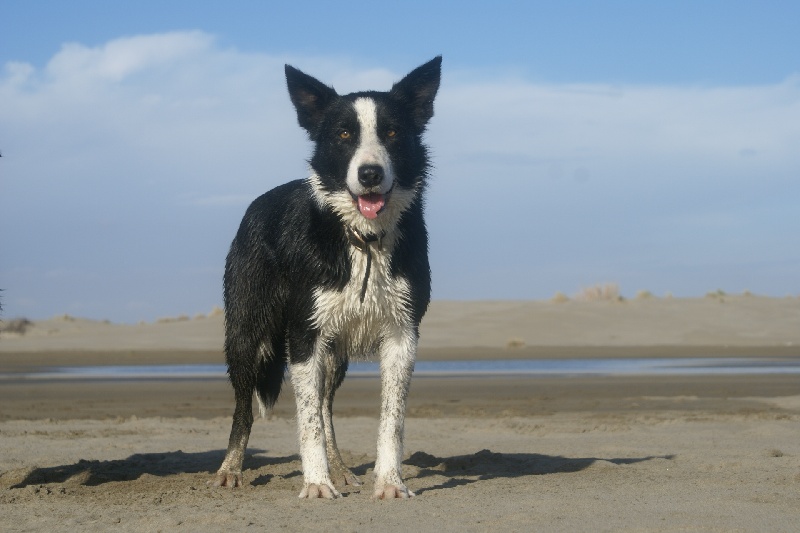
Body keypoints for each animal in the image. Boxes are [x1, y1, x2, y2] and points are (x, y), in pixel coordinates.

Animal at [209, 57, 440, 498]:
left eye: (392, 132)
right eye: (344, 134)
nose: (369, 174)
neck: (363, 241)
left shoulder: (402, 334)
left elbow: (391, 419)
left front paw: (389, 483)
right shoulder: (304, 334)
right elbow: (308, 422)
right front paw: (316, 484)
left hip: (336, 352)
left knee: (326, 405)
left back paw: (341, 469)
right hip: (247, 332)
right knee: (245, 406)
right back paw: (231, 468)